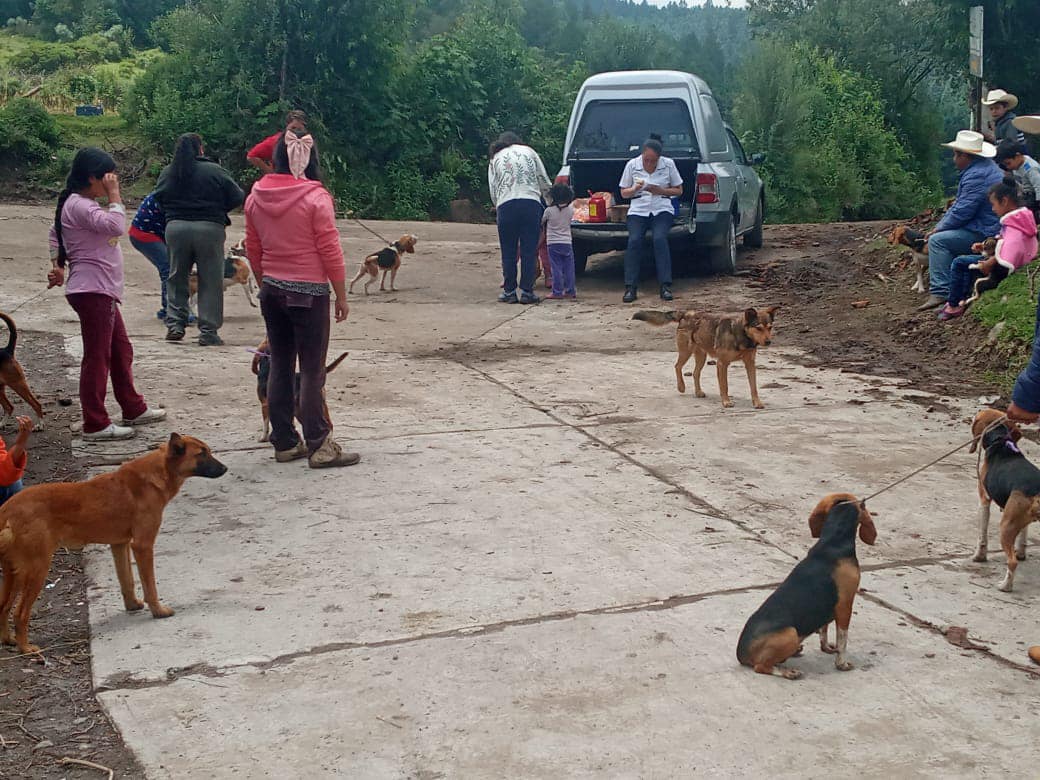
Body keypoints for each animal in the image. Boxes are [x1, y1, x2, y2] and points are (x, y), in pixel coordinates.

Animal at [0, 434, 226, 653]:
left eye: (208, 451)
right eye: (201, 454)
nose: (225, 468)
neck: (159, 472)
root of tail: (6, 511)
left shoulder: (120, 545)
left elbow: (127, 581)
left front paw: (133, 605)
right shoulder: (142, 545)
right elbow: (150, 586)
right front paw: (158, 611)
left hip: (14, 573)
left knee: (3, 607)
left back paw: (8, 640)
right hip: (36, 569)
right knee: (20, 613)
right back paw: (25, 648)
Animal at [632, 305, 782, 409]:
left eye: (770, 327)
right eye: (758, 328)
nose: (768, 342)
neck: (742, 334)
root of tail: (685, 313)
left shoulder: (750, 364)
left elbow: (753, 386)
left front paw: (757, 402)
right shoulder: (722, 364)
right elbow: (724, 386)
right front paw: (726, 402)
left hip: (701, 356)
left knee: (695, 373)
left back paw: (698, 392)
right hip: (686, 351)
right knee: (677, 366)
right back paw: (681, 386)